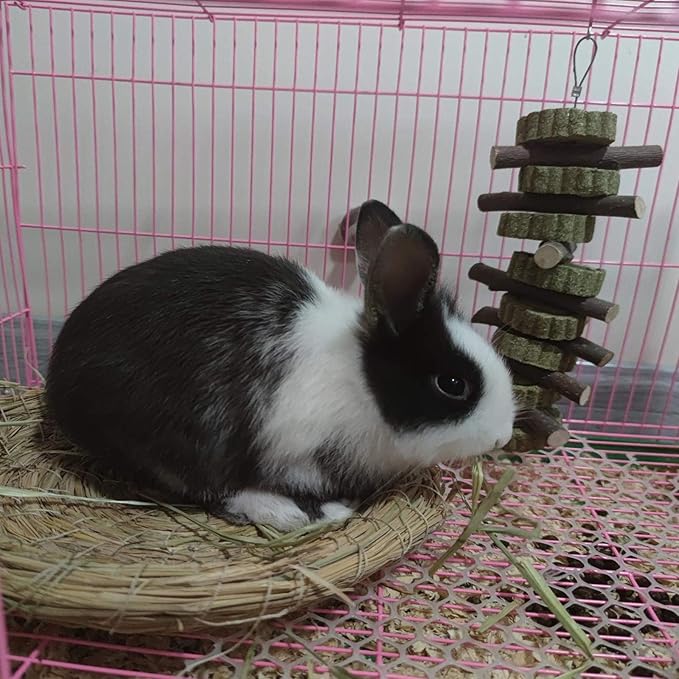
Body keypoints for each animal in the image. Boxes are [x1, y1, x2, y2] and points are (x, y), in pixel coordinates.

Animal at [46, 199, 516, 531]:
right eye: (452, 383)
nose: (503, 437)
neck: (361, 382)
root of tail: (58, 385)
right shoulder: (294, 450)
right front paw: (320, 508)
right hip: (179, 433)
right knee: (207, 487)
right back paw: (288, 512)